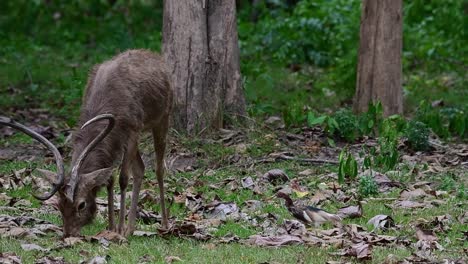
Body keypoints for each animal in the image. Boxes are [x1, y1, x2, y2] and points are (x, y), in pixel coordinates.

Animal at [0, 49, 174, 237]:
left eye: (81, 205)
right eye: (59, 205)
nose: (68, 234)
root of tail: (156, 57)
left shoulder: (133, 128)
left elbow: (122, 178)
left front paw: (119, 229)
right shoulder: (115, 142)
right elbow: (110, 178)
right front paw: (112, 228)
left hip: (163, 116)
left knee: (158, 168)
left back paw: (163, 224)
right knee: (140, 168)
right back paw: (131, 228)